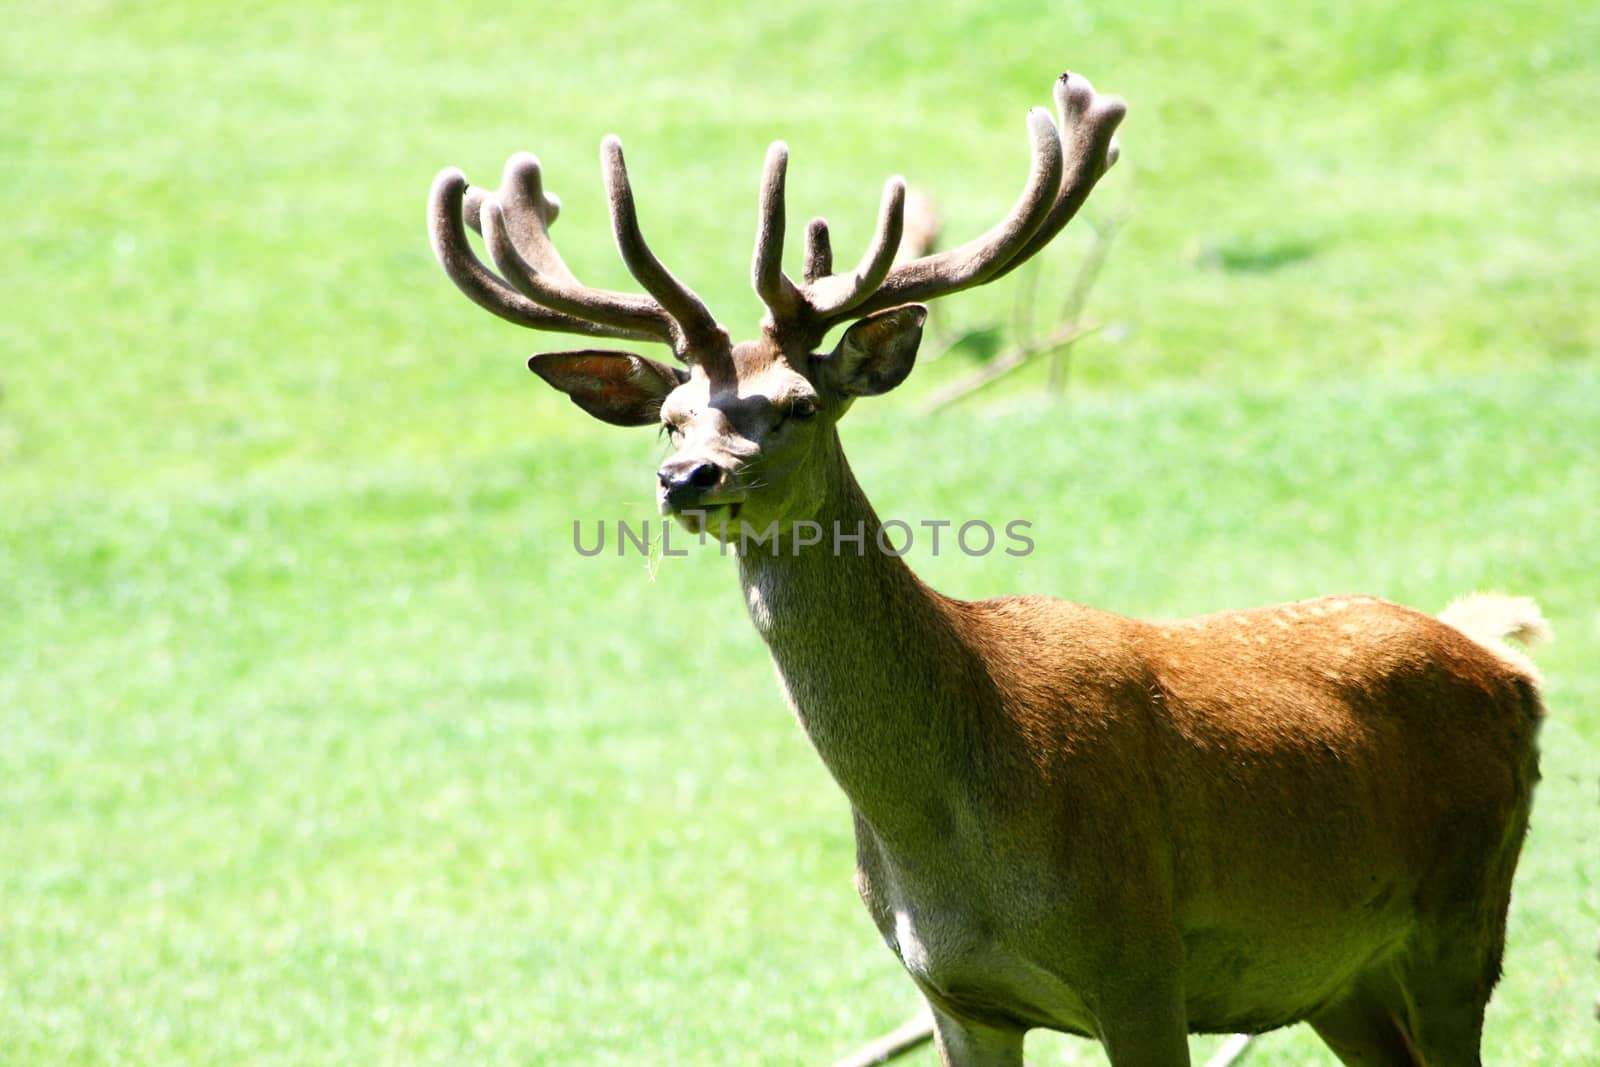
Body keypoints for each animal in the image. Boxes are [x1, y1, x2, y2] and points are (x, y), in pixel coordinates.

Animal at [425, 70, 1548, 1062]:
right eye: (668, 413)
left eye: (798, 403)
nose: (685, 476)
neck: (951, 833)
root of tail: (1512, 665)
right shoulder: (954, 995)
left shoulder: (1139, 957)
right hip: (1332, 972)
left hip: (1463, 910)